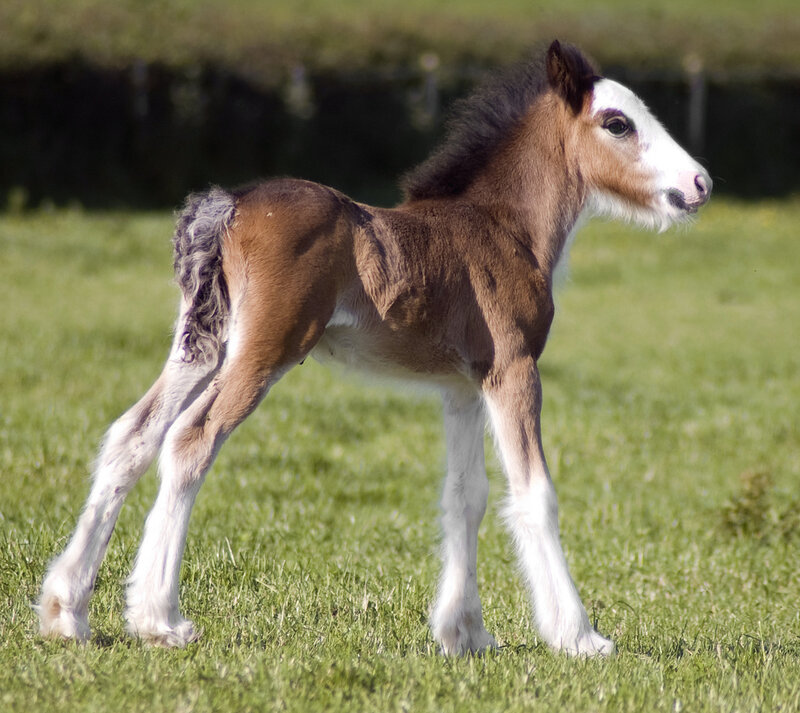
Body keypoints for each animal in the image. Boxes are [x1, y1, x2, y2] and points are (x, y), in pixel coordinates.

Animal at [37, 41, 711, 656]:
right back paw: (160, 620)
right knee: (191, 439)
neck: (504, 229)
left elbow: (466, 497)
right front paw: (579, 636)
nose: (700, 183)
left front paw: (464, 634)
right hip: (264, 351)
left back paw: (67, 612)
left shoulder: (463, 388)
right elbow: (533, 493)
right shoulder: (514, 370)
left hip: (202, 344)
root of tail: (227, 205)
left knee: (133, 434)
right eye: (618, 123)